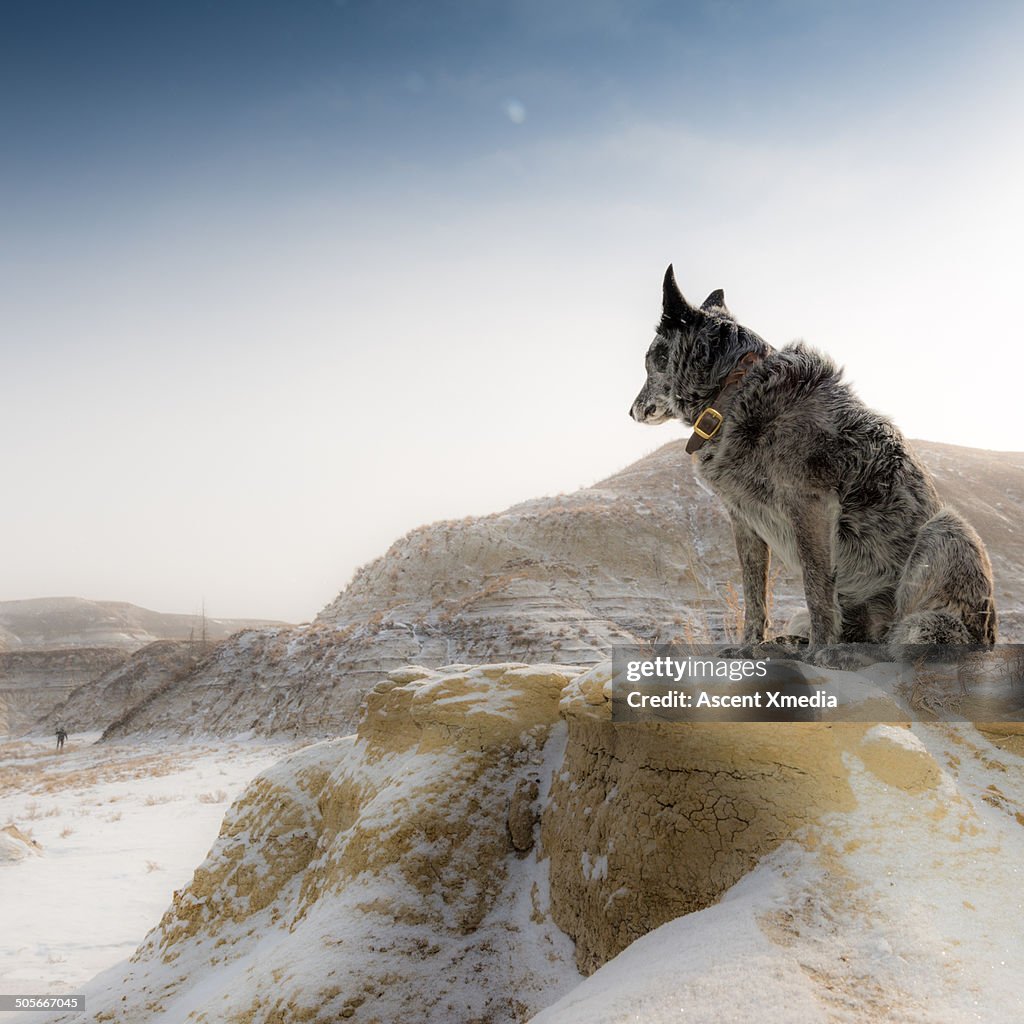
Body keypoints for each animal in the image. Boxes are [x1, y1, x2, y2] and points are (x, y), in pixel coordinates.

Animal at [626, 264, 995, 655]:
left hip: (948, 529)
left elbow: (816, 586)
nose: (631, 411)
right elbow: (755, 596)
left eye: (650, 361)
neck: (734, 390)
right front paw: (748, 647)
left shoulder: (810, 504)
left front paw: (819, 651)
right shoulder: (742, 519)